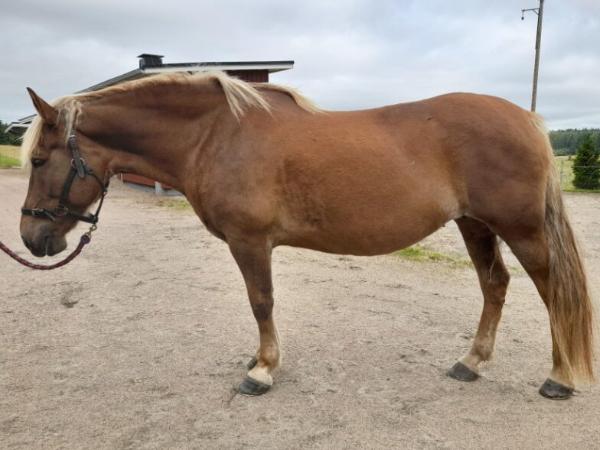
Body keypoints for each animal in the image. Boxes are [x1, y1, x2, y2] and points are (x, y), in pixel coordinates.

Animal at [19, 71, 594, 399]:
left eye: (40, 159)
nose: (29, 236)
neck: (216, 135)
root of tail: (527, 118)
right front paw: (259, 362)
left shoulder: (250, 242)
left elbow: (261, 302)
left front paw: (262, 370)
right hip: (475, 225)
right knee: (495, 285)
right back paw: (470, 363)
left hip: (520, 229)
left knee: (551, 293)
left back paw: (559, 378)